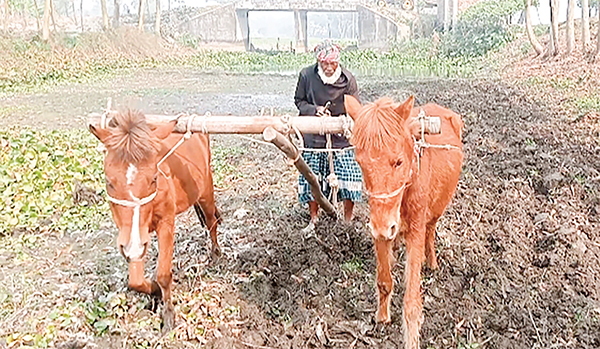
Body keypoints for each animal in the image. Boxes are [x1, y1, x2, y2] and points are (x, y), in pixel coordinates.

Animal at [89, 111, 220, 328]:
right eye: (109, 181)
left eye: (154, 179)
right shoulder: (130, 234)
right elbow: (135, 280)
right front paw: (155, 291)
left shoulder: (165, 222)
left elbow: (164, 274)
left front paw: (168, 314)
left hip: (206, 190)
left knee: (211, 222)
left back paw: (216, 253)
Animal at [342, 95, 464, 348]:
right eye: (360, 162)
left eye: (397, 162)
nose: (385, 226)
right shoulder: (379, 227)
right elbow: (384, 281)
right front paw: (382, 318)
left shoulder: (413, 231)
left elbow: (411, 301)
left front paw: (411, 338)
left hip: (437, 210)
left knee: (431, 230)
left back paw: (432, 260)